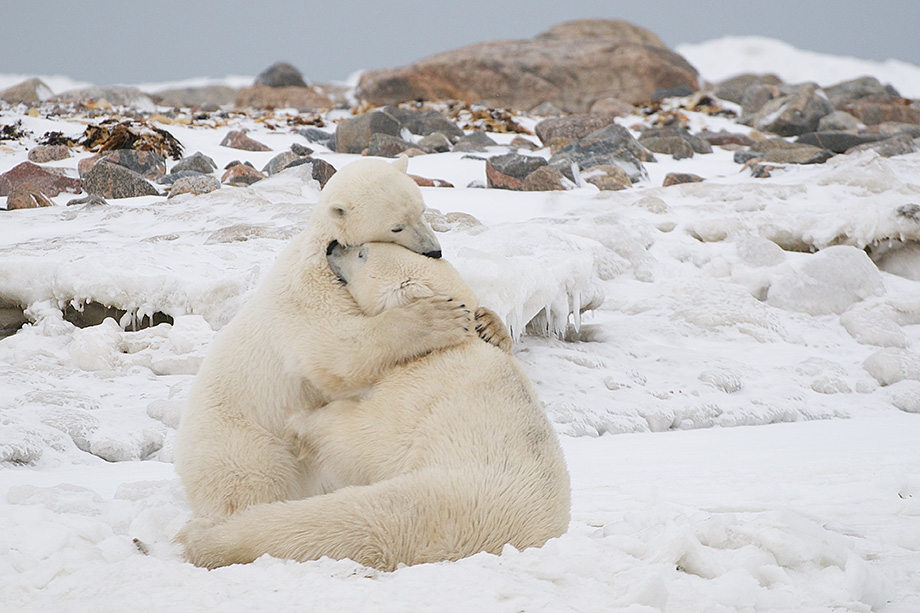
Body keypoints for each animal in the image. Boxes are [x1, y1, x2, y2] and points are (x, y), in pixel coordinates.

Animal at [174, 155, 474, 520]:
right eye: (396, 227)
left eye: (422, 209)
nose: (434, 251)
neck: (325, 247)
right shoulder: (310, 291)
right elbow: (336, 352)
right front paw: (440, 318)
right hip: (241, 440)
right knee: (253, 481)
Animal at [176, 243, 572, 568]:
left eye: (363, 253)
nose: (333, 246)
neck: (455, 349)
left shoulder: (421, 388)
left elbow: (368, 436)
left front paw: (304, 423)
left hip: (436, 501)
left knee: (341, 521)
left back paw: (207, 537)